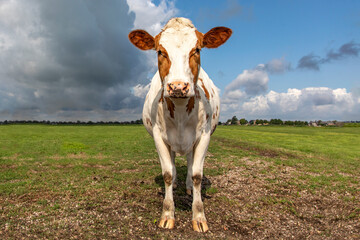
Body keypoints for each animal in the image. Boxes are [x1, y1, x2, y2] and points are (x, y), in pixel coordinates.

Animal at [128, 17, 232, 232]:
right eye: (160, 51)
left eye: (197, 49)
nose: (177, 87)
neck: (181, 111)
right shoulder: (159, 136)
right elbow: (167, 173)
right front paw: (168, 213)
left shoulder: (204, 136)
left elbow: (197, 174)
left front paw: (199, 216)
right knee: (174, 162)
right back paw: (177, 183)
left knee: (191, 163)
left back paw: (188, 187)